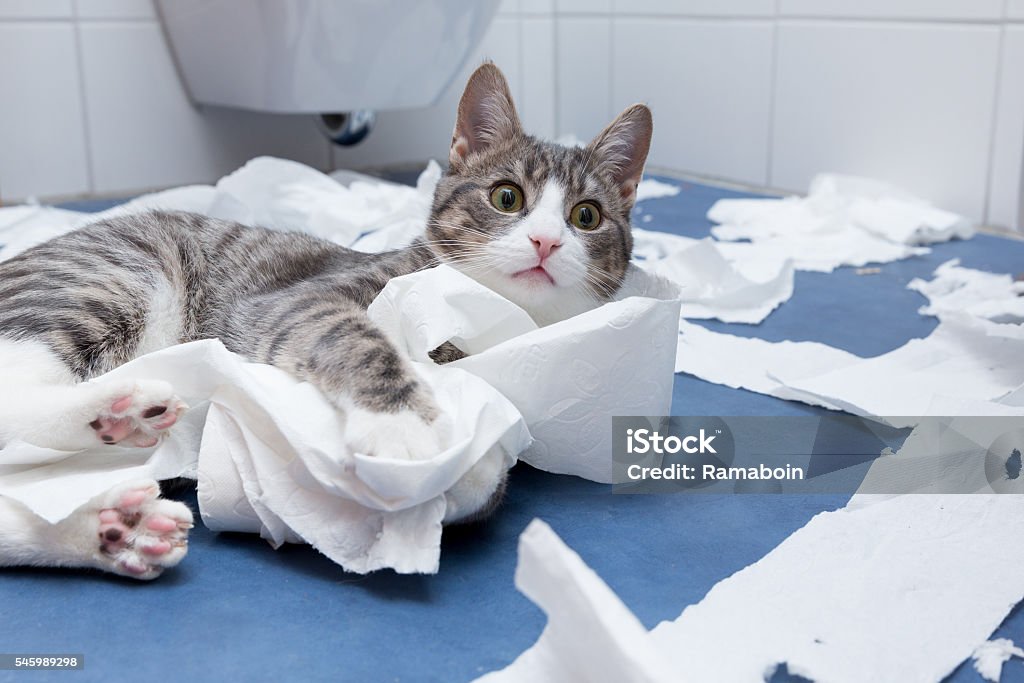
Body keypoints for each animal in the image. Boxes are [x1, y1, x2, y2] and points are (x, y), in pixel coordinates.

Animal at [0, 62, 655, 577]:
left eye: (586, 215)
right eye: (506, 197)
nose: (546, 241)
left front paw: (472, 470)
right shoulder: (293, 301)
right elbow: (354, 338)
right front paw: (405, 426)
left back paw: (114, 524)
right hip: (111, 278)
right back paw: (121, 406)